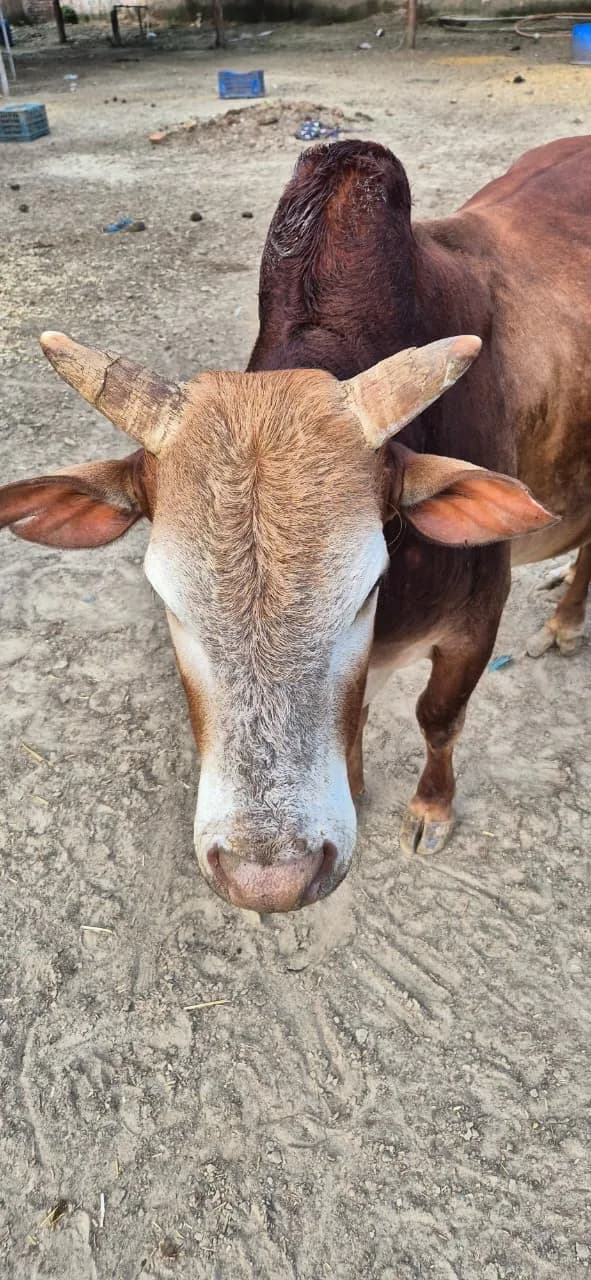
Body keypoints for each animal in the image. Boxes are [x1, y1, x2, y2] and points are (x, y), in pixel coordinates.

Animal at [1, 137, 589, 914]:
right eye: (167, 600)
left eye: (368, 589)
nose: (269, 878)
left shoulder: (476, 620)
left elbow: (438, 717)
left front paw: (430, 809)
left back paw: (564, 622)